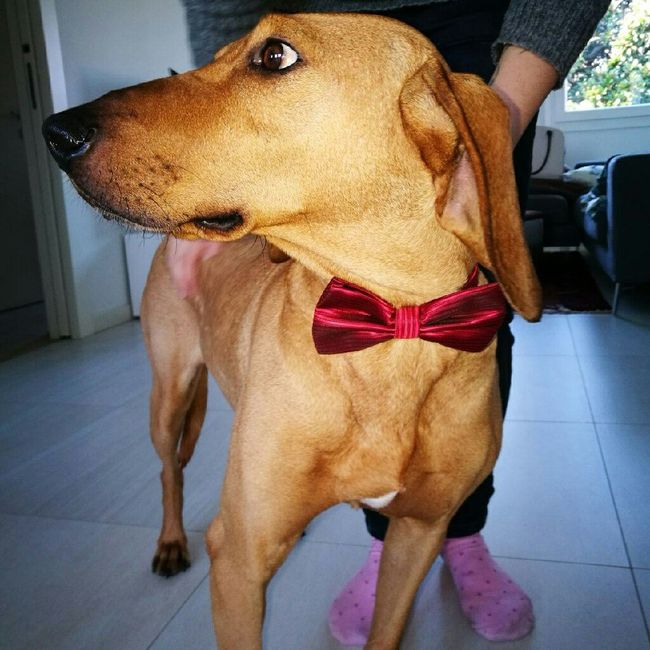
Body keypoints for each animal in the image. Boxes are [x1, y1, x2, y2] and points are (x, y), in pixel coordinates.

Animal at [43, 12, 541, 649]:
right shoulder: (238, 560)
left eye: (275, 55)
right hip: (169, 393)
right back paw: (171, 540)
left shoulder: (419, 532)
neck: (390, 330)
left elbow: (387, 626)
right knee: (168, 470)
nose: (56, 131)